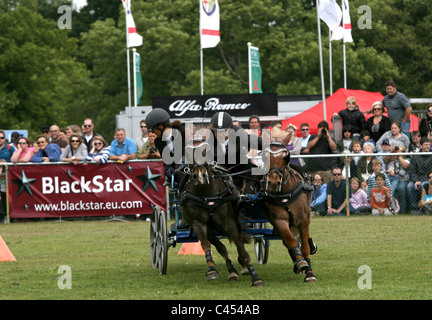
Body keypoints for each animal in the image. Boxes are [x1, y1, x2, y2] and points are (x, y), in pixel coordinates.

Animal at [260, 141, 318, 282]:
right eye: (266, 157)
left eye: (284, 158)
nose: (273, 182)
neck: (285, 193)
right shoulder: (279, 221)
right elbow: (291, 242)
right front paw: (300, 262)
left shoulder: (303, 219)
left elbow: (305, 246)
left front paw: (309, 273)